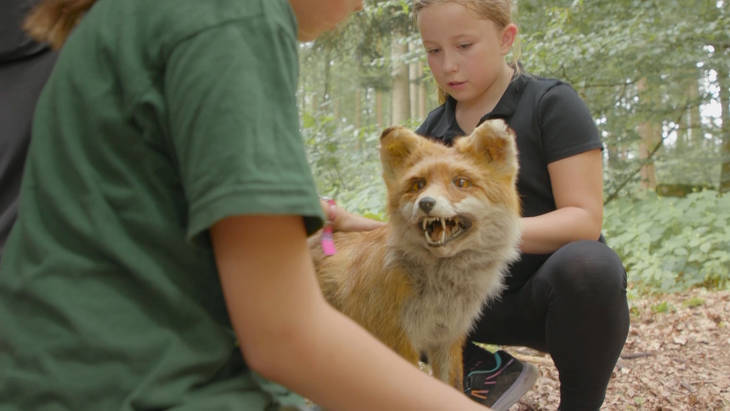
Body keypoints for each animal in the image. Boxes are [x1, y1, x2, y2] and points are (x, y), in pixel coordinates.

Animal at [310, 119, 520, 390]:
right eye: (418, 185)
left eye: (461, 182)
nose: (426, 203)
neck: (440, 295)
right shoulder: (398, 342)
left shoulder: (447, 339)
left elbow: (451, 387)